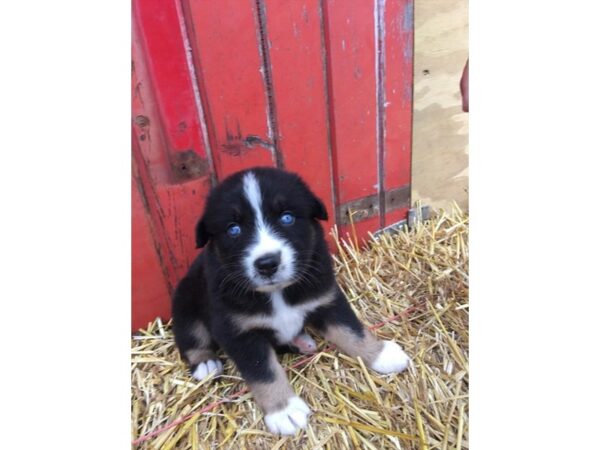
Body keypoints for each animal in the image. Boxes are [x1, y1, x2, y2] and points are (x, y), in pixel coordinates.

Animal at [171, 167, 410, 434]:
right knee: (191, 337)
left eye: (287, 218)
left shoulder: (327, 299)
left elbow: (352, 331)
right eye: (233, 229)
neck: (277, 293)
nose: (267, 263)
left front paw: (380, 354)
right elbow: (264, 371)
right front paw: (284, 410)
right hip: (186, 301)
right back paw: (206, 363)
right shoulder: (238, 331)